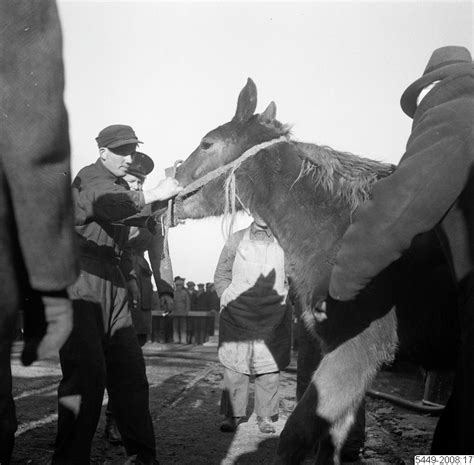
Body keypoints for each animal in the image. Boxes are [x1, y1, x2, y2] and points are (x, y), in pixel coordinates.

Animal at [172, 78, 458, 462]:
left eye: (206, 144)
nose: (171, 186)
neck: (343, 229)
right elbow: (330, 439)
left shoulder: (358, 347)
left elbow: (296, 435)